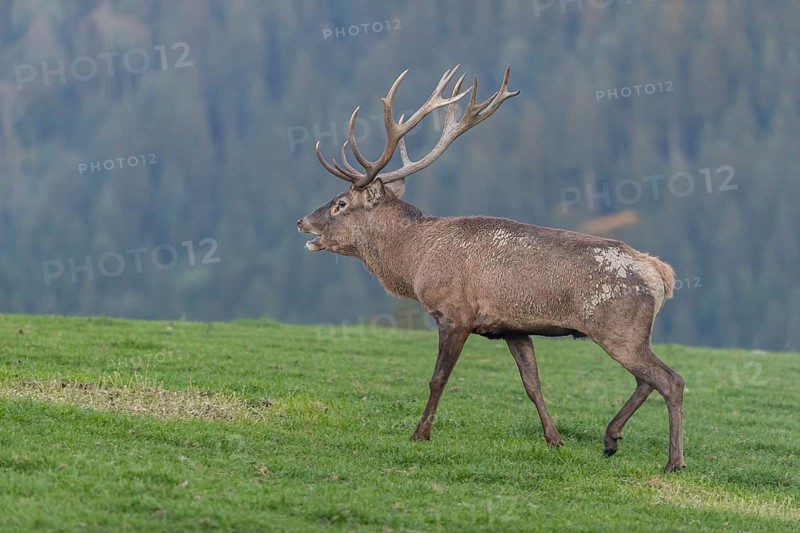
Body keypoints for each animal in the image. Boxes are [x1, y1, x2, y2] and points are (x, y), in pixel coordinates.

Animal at [297, 65, 685, 472]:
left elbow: (438, 378)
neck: (414, 261)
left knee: (670, 380)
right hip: (629, 333)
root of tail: (661, 274)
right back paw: (611, 438)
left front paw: (420, 434)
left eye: (340, 203)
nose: (302, 222)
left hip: (619, 328)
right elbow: (532, 384)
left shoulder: (455, 314)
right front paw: (554, 439)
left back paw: (673, 461)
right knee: (647, 381)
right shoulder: (512, 328)